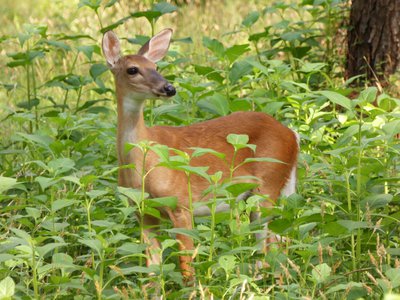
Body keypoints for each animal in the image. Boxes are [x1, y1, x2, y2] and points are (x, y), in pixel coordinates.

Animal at [101, 28, 298, 282]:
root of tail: (292, 134)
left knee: (272, 247)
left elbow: (187, 265)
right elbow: (152, 270)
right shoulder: (142, 211)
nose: (169, 88)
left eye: (156, 66)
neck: (143, 164)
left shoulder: (180, 203)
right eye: (132, 69)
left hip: (268, 184)